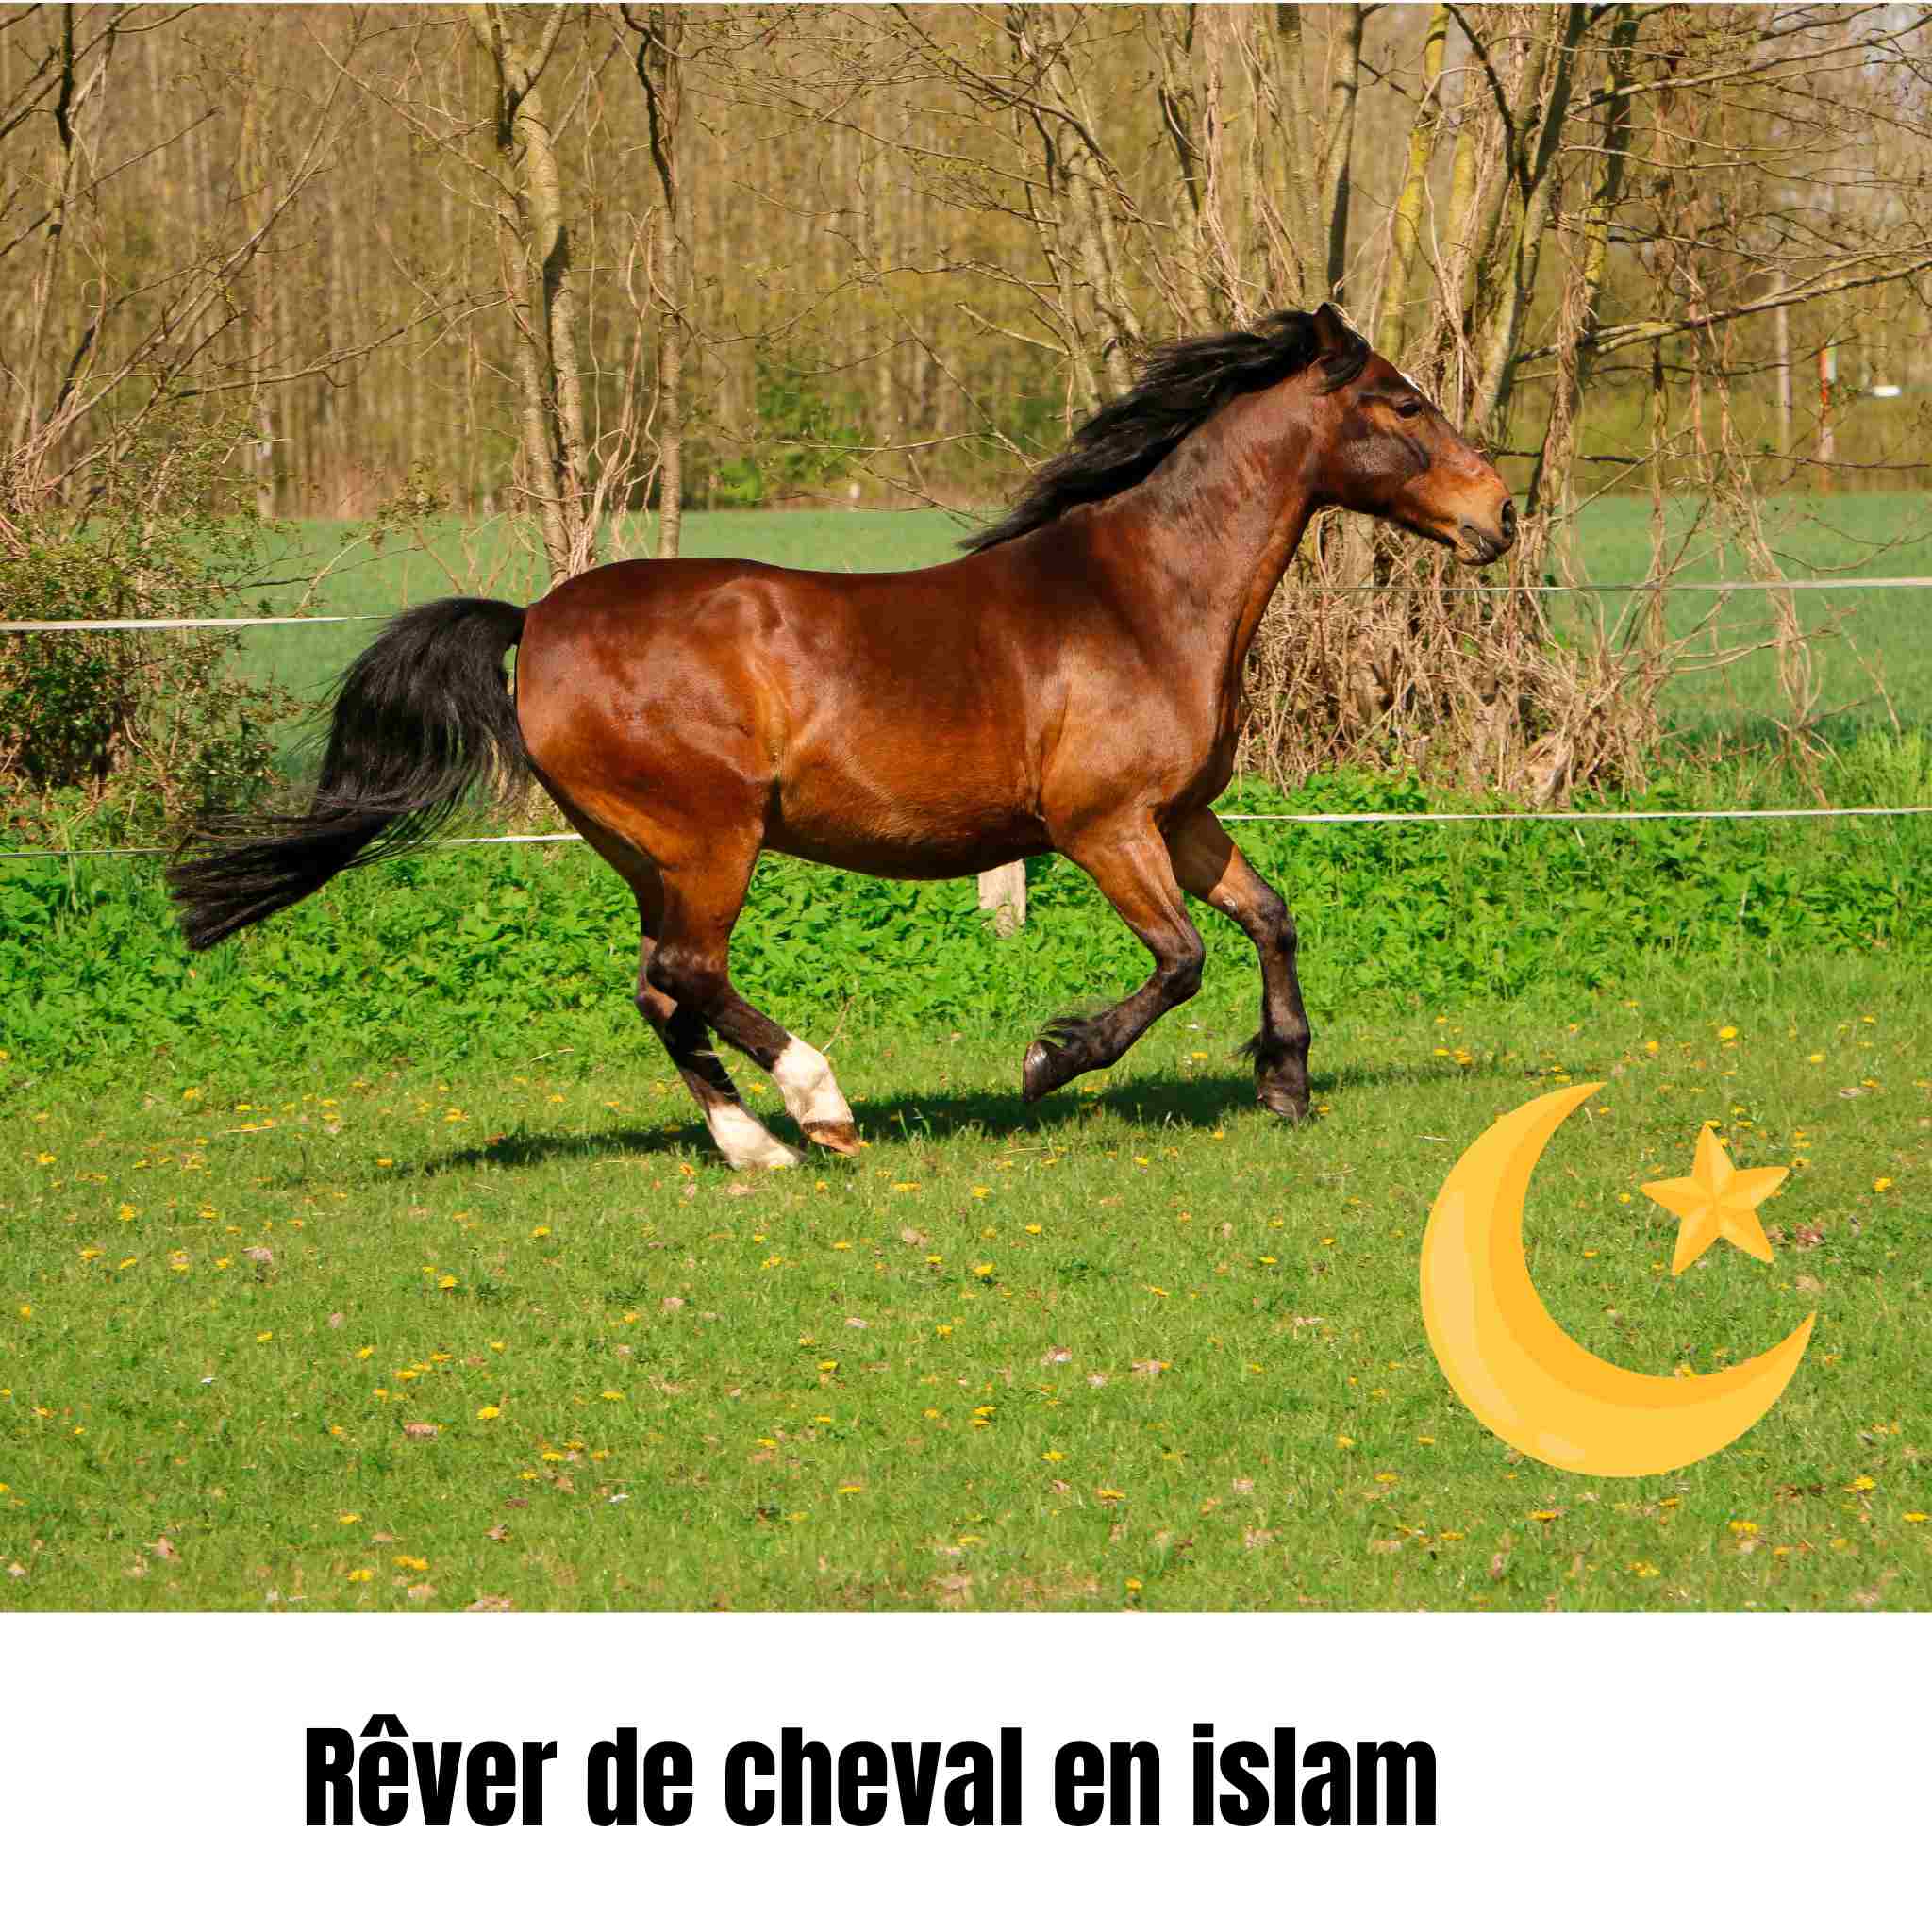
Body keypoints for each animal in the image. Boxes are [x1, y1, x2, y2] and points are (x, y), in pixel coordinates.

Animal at [170, 303, 1514, 1171]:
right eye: (1401, 399)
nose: (1499, 514)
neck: (1142, 598)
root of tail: (534, 618)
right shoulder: (1101, 825)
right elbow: (1180, 959)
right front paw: (1050, 1058)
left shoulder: (1178, 816)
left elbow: (1269, 917)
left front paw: (1283, 1081)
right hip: (710, 838)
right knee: (693, 975)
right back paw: (820, 1106)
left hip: (643, 853)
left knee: (661, 990)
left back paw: (752, 1147)